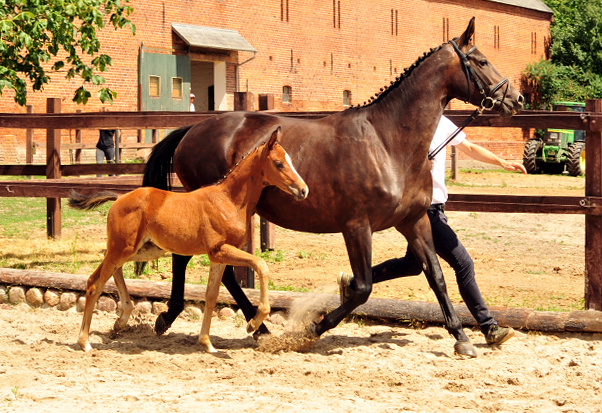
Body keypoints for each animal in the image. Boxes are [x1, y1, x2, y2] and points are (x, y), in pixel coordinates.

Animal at [68, 127, 308, 352]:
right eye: (278, 163)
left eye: (289, 160)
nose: (303, 190)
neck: (229, 200)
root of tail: (119, 198)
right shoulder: (219, 250)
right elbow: (261, 265)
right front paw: (253, 325)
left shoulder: (218, 258)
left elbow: (211, 296)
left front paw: (207, 343)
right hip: (123, 248)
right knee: (95, 284)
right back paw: (84, 342)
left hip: (140, 249)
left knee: (102, 271)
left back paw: (122, 318)